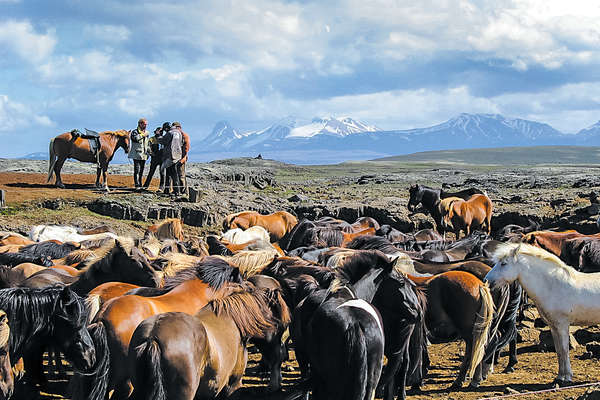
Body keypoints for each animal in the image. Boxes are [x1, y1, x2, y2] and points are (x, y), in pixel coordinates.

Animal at [486, 242, 600, 386]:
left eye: (504, 263)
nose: (486, 280)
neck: (553, 286)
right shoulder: (554, 327)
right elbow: (559, 351)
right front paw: (560, 377)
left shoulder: (562, 325)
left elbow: (564, 350)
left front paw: (567, 377)